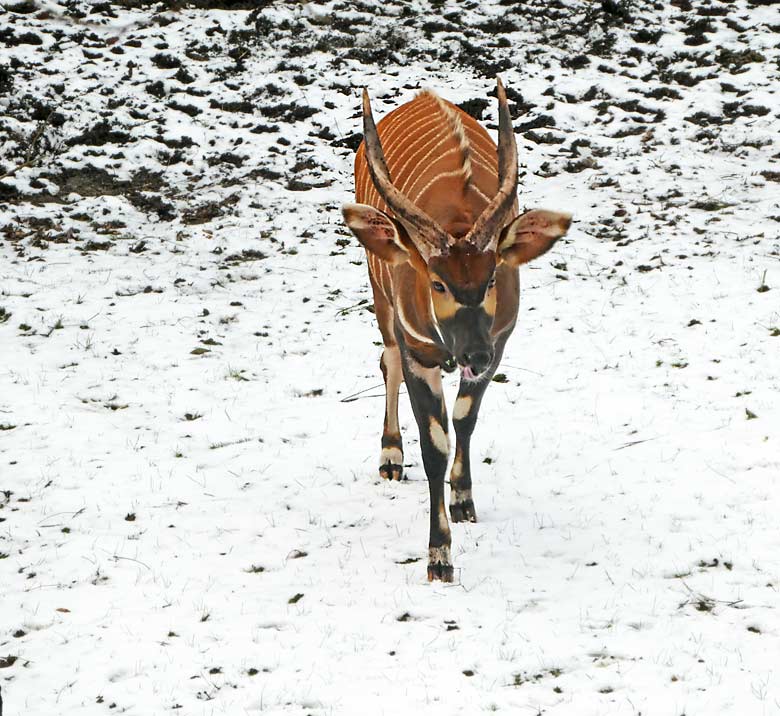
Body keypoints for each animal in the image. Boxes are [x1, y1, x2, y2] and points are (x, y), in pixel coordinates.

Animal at [342, 79, 572, 580]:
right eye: (437, 282)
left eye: (491, 278)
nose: (473, 354)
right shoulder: (419, 351)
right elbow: (434, 444)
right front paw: (439, 557)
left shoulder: (500, 342)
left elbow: (465, 420)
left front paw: (463, 499)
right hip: (380, 293)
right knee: (385, 357)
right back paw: (390, 456)